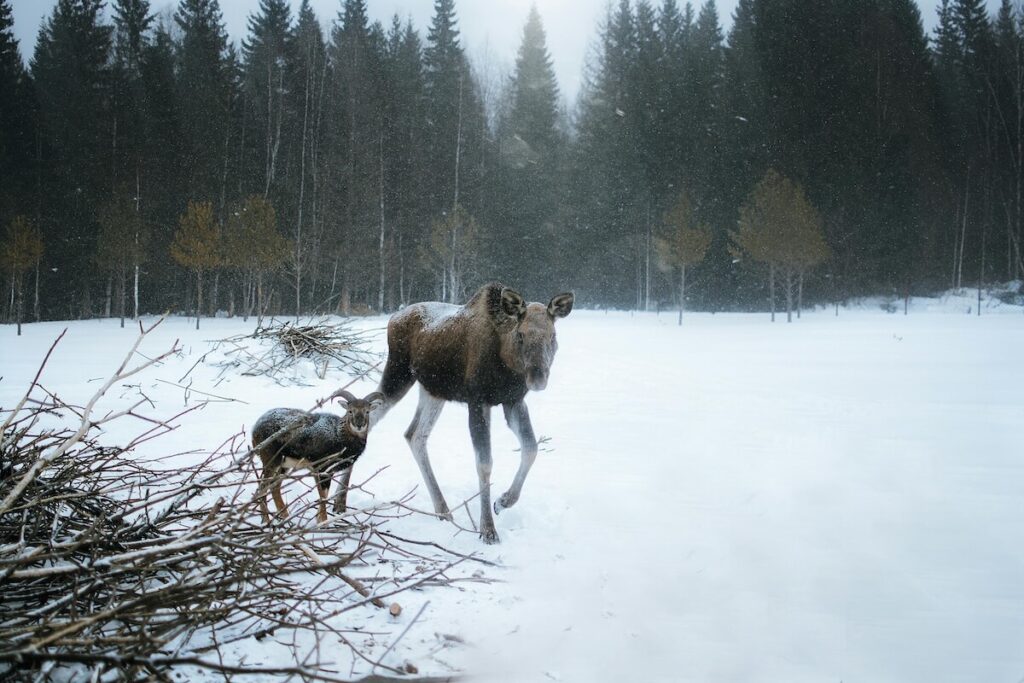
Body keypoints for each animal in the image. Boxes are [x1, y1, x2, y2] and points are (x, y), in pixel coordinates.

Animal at [252, 389, 383, 523]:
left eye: (367, 411)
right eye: (350, 411)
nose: (359, 425)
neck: (339, 436)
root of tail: (255, 428)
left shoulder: (327, 471)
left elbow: (324, 494)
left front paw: (319, 519)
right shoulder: (320, 468)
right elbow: (323, 495)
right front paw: (323, 521)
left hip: (284, 466)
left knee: (274, 487)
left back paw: (285, 517)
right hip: (271, 460)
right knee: (262, 487)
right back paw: (266, 520)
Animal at [374, 282, 574, 543]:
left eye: (553, 336)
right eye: (520, 335)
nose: (538, 379)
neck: (506, 363)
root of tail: (393, 318)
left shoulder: (513, 402)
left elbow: (531, 448)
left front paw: (503, 501)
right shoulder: (478, 401)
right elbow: (485, 463)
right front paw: (487, 529)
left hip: (433, 391)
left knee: (414, 434)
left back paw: (443, 510)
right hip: (397, 375)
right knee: (364, 414)